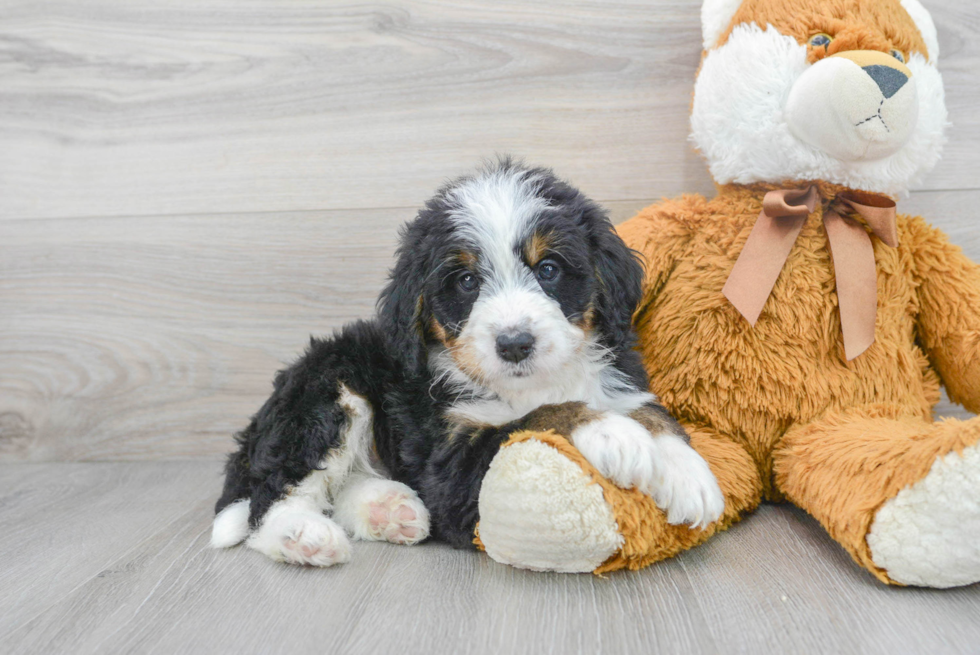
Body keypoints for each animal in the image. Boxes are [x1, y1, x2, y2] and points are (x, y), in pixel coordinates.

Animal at [211, 158, 724, 564]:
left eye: (549, 269)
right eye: (466, 281)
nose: (514, 344)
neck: (529, 382)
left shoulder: (619, 377)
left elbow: (652, 411)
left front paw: (688, 473)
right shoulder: (450, 466)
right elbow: (535, 418)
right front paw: (611, 432)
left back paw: (389, 510)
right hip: (326, 392)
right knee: (268, 499)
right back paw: (304, 536)